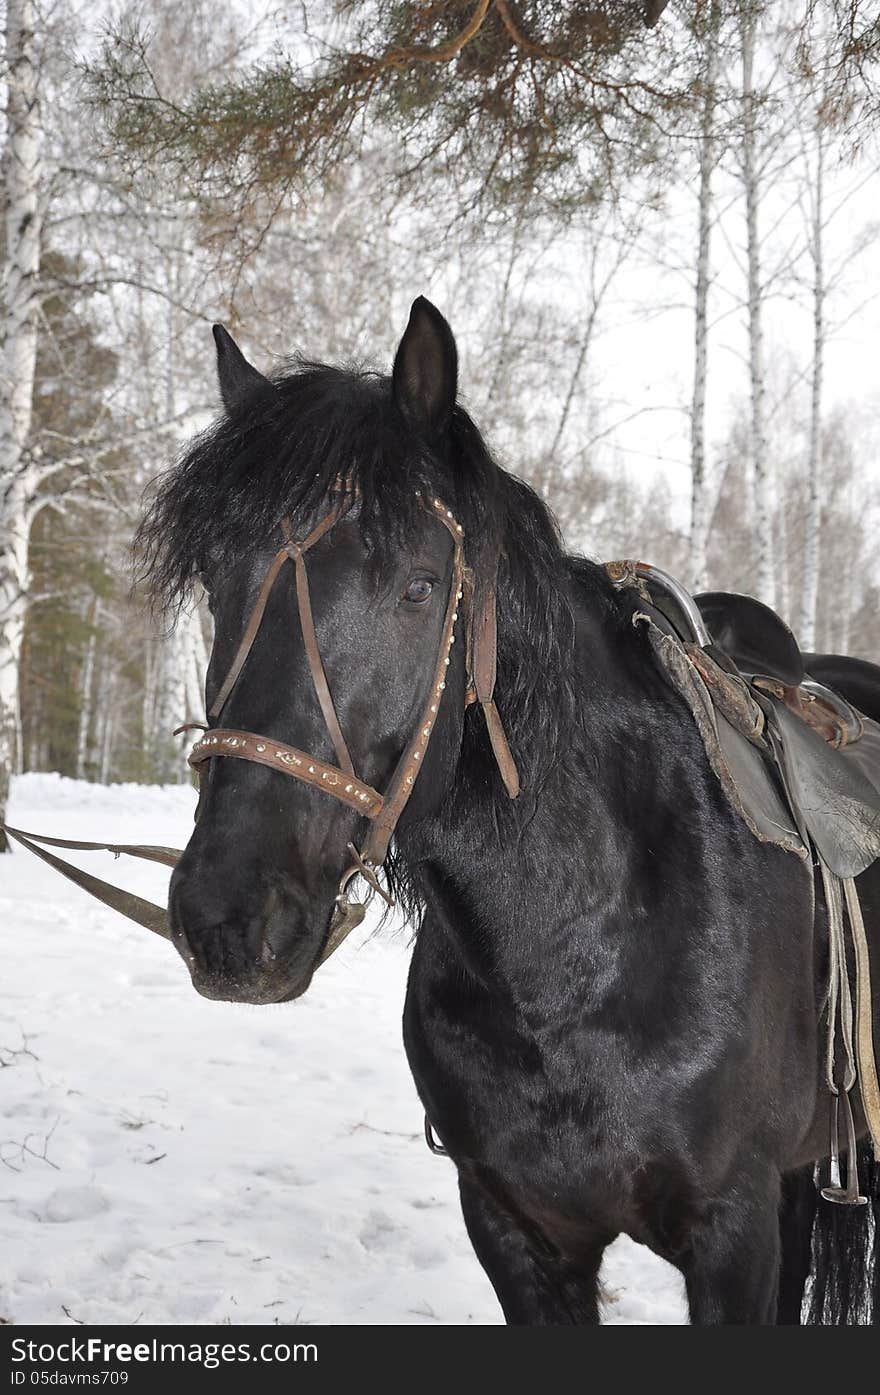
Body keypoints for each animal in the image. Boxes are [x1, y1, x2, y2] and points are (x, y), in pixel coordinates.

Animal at [139, 299, 880, 1322]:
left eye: (418, 586)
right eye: (218, 583)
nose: (228, 919)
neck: (576, 955)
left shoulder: (734, 1232)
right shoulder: (515, 1230)